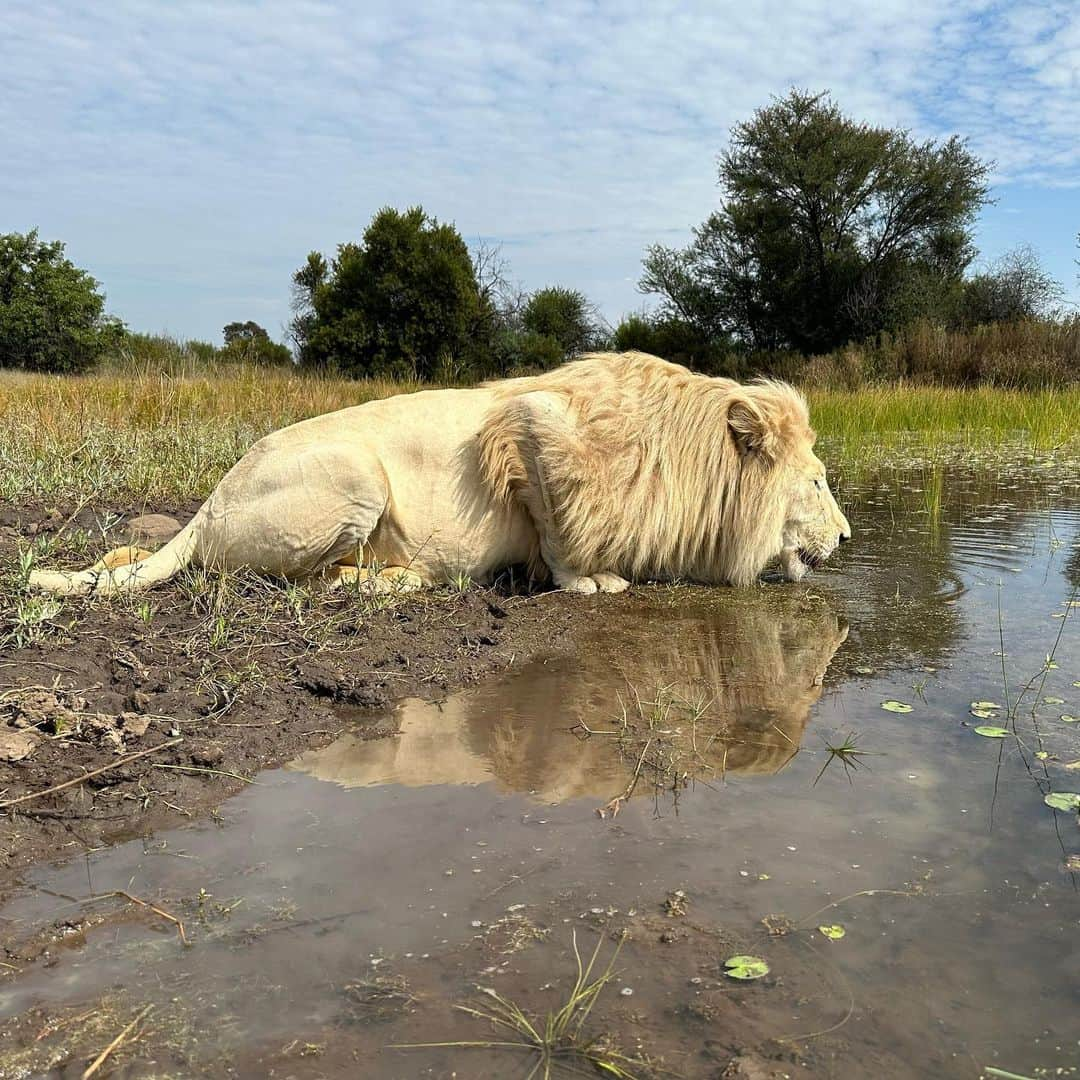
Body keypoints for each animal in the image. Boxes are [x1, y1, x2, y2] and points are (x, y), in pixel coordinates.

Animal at [27, 352, 851, 591]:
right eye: (816, 482)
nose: (847, 536)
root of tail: (210, 501)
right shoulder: (531, 424)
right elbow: (561, 533)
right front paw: (588, 581)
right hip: (356, 473)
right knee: (314, 581)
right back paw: (404, 581)